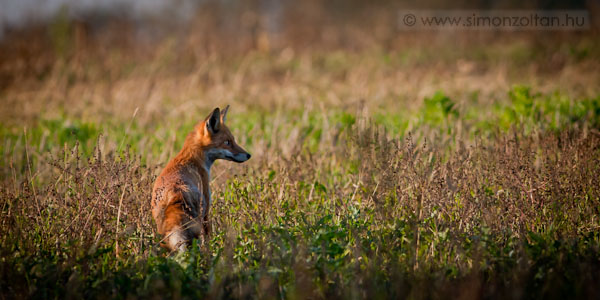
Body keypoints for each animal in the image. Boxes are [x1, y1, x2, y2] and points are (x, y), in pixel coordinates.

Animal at [154, 106, 252, 252]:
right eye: (227, 142)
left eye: (233, 140)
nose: (248, 155)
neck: (192, 159)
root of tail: (175, 193)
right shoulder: (206, 209)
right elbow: (209, 236)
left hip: (163, 231)